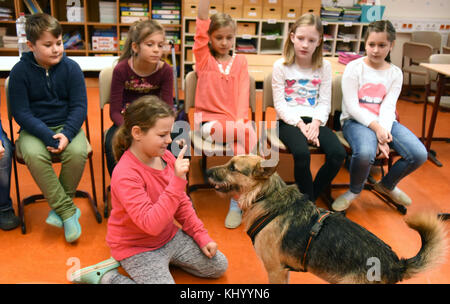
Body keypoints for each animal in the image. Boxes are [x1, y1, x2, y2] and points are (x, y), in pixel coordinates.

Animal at [207, 156, 446, 284]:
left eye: (232, 168)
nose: (207, 170)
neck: (264, 195)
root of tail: (395, 264)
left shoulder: (276, 271)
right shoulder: (283, 272)